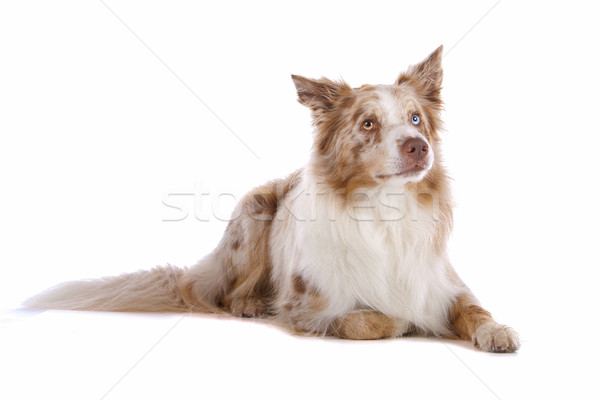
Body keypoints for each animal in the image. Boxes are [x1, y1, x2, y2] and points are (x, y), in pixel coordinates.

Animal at [24, 46, 520, 354]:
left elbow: (475, 309)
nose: (419, 146)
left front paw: (497, 330)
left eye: (416, 118)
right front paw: (401, 322)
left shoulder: (445, 286)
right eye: (368, 124)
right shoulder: (307, 308)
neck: (386, 210)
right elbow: (366, 320)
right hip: (254, 211)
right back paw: (247, 302)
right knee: (226, 294)